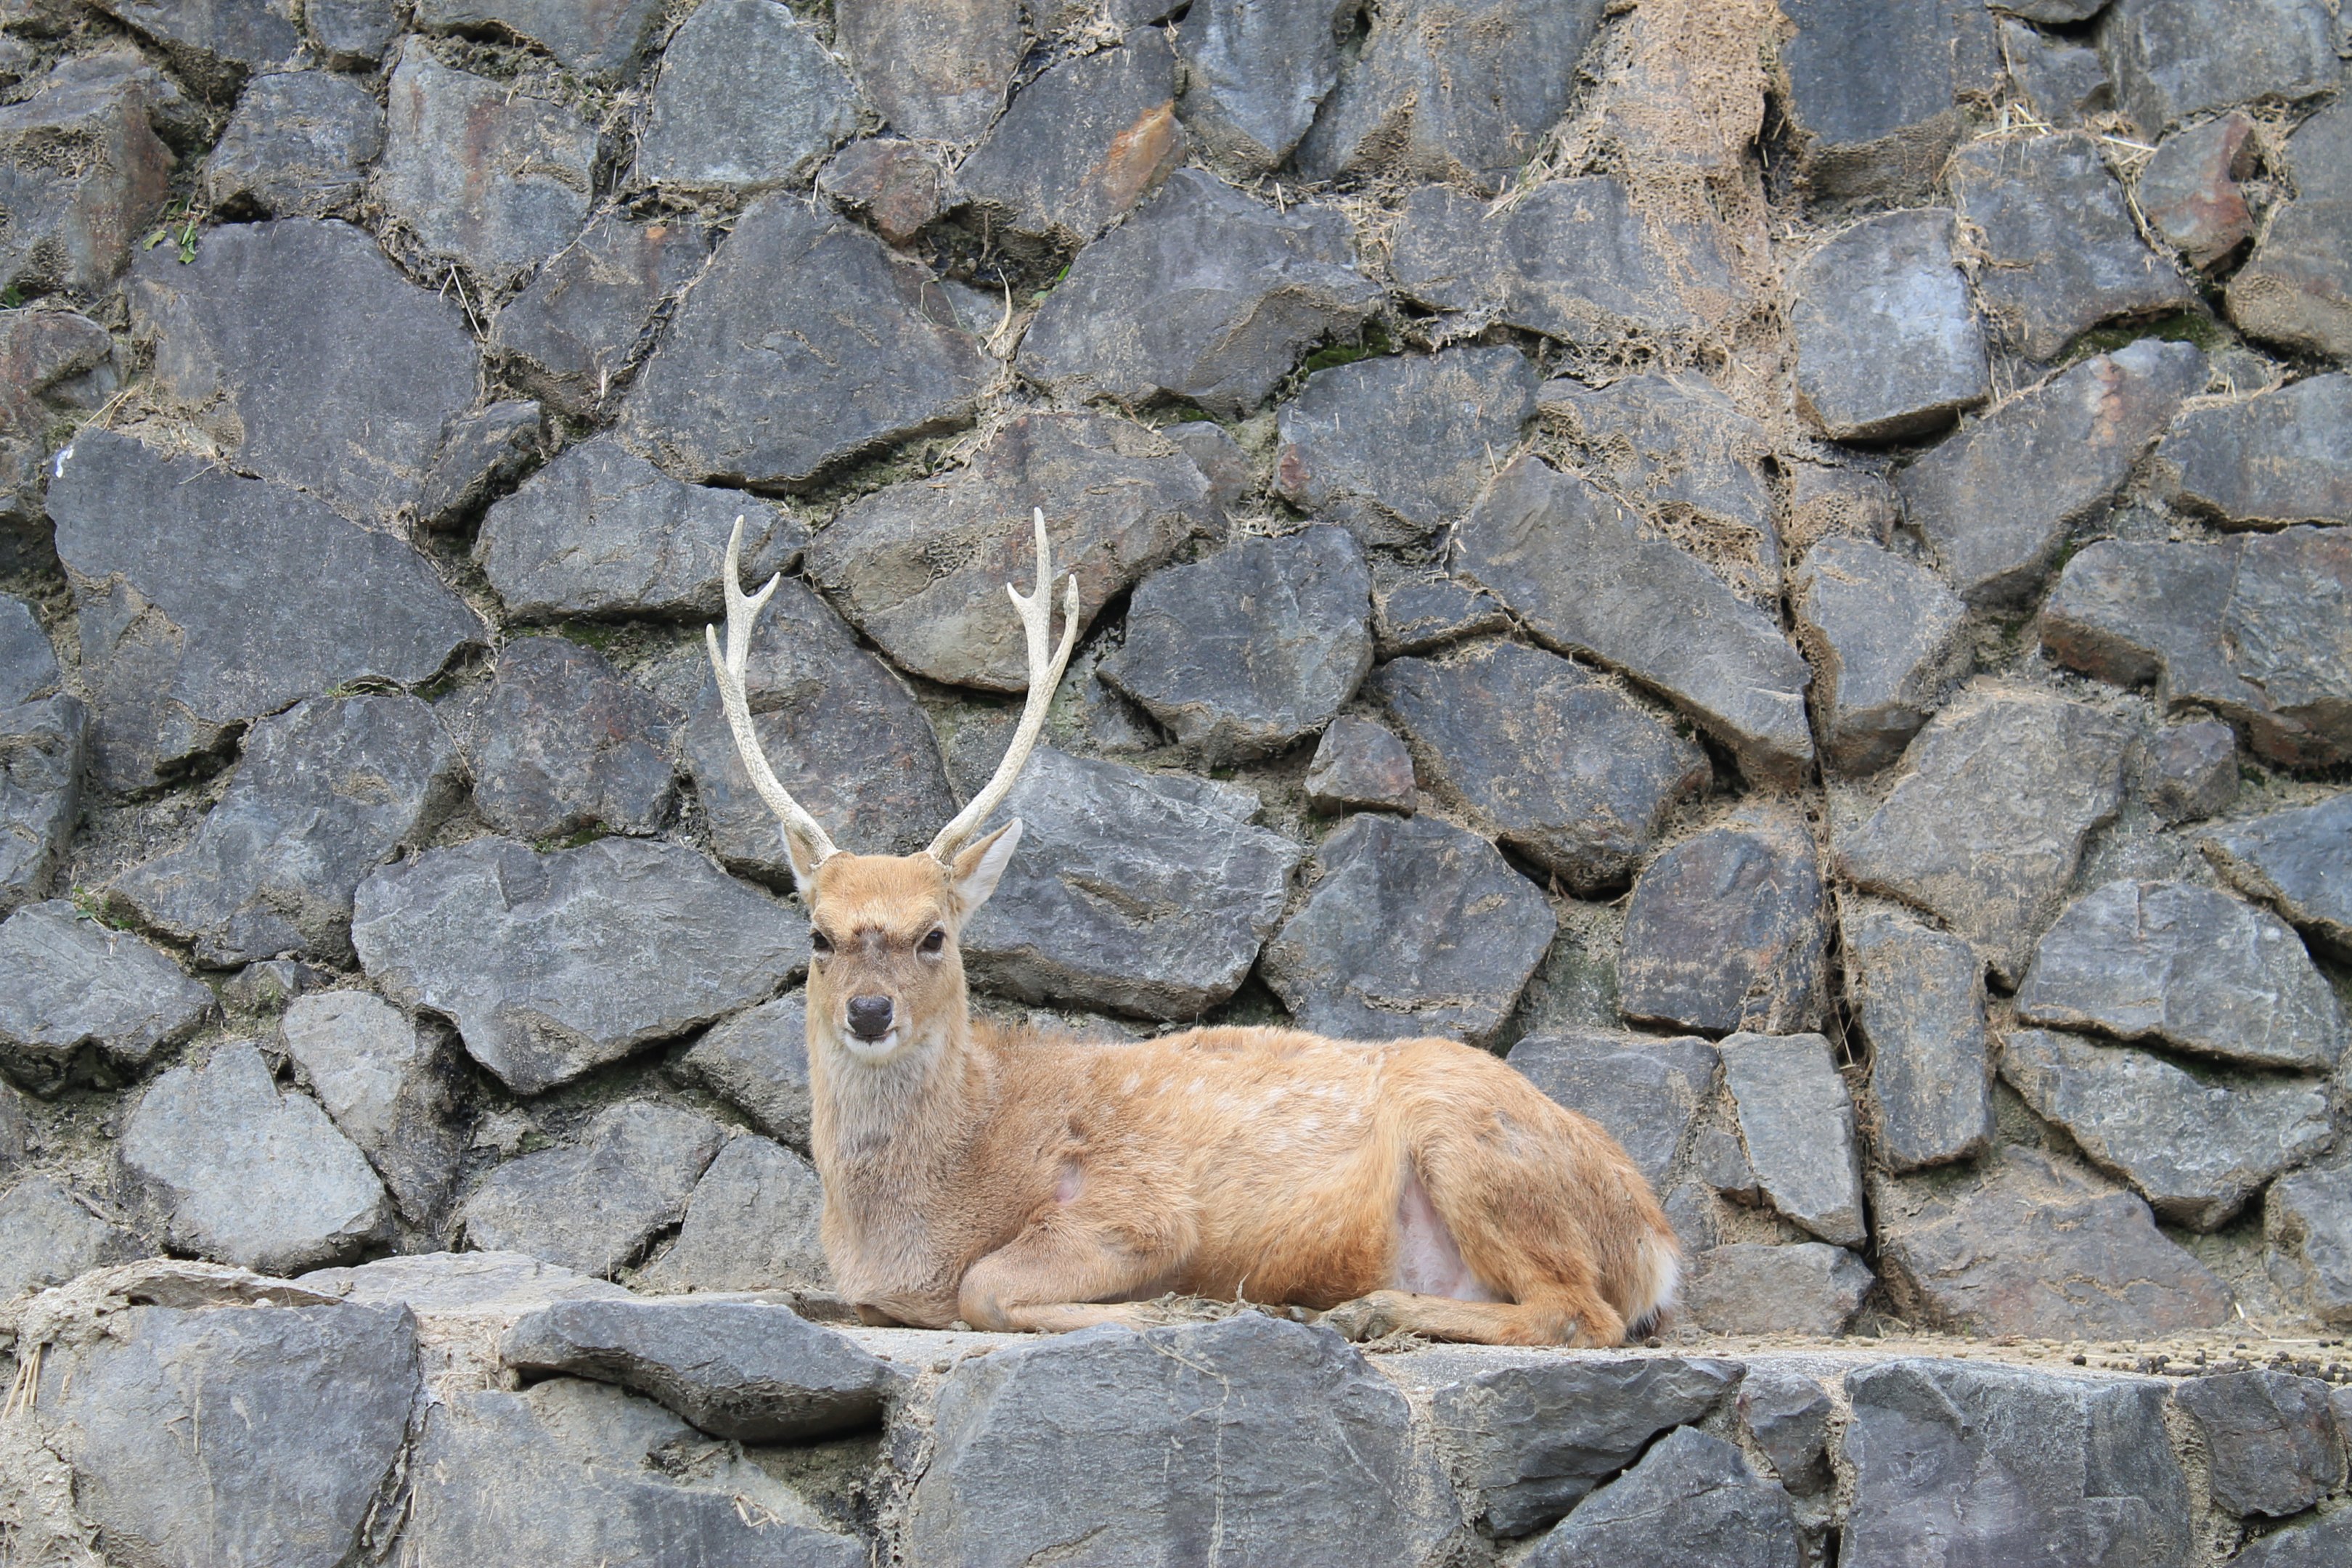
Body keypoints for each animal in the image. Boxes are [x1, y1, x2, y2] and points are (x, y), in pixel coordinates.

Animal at [704, 510, 1680, 1346]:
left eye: (934, 934)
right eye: (818, 936)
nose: (870, 1012)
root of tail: (1657, 1244)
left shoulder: (1140, 1207)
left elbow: (986, 1286)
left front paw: (1161, 1309)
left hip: (1480, 1147)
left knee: (1576, 1311)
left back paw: (1361, 1310)